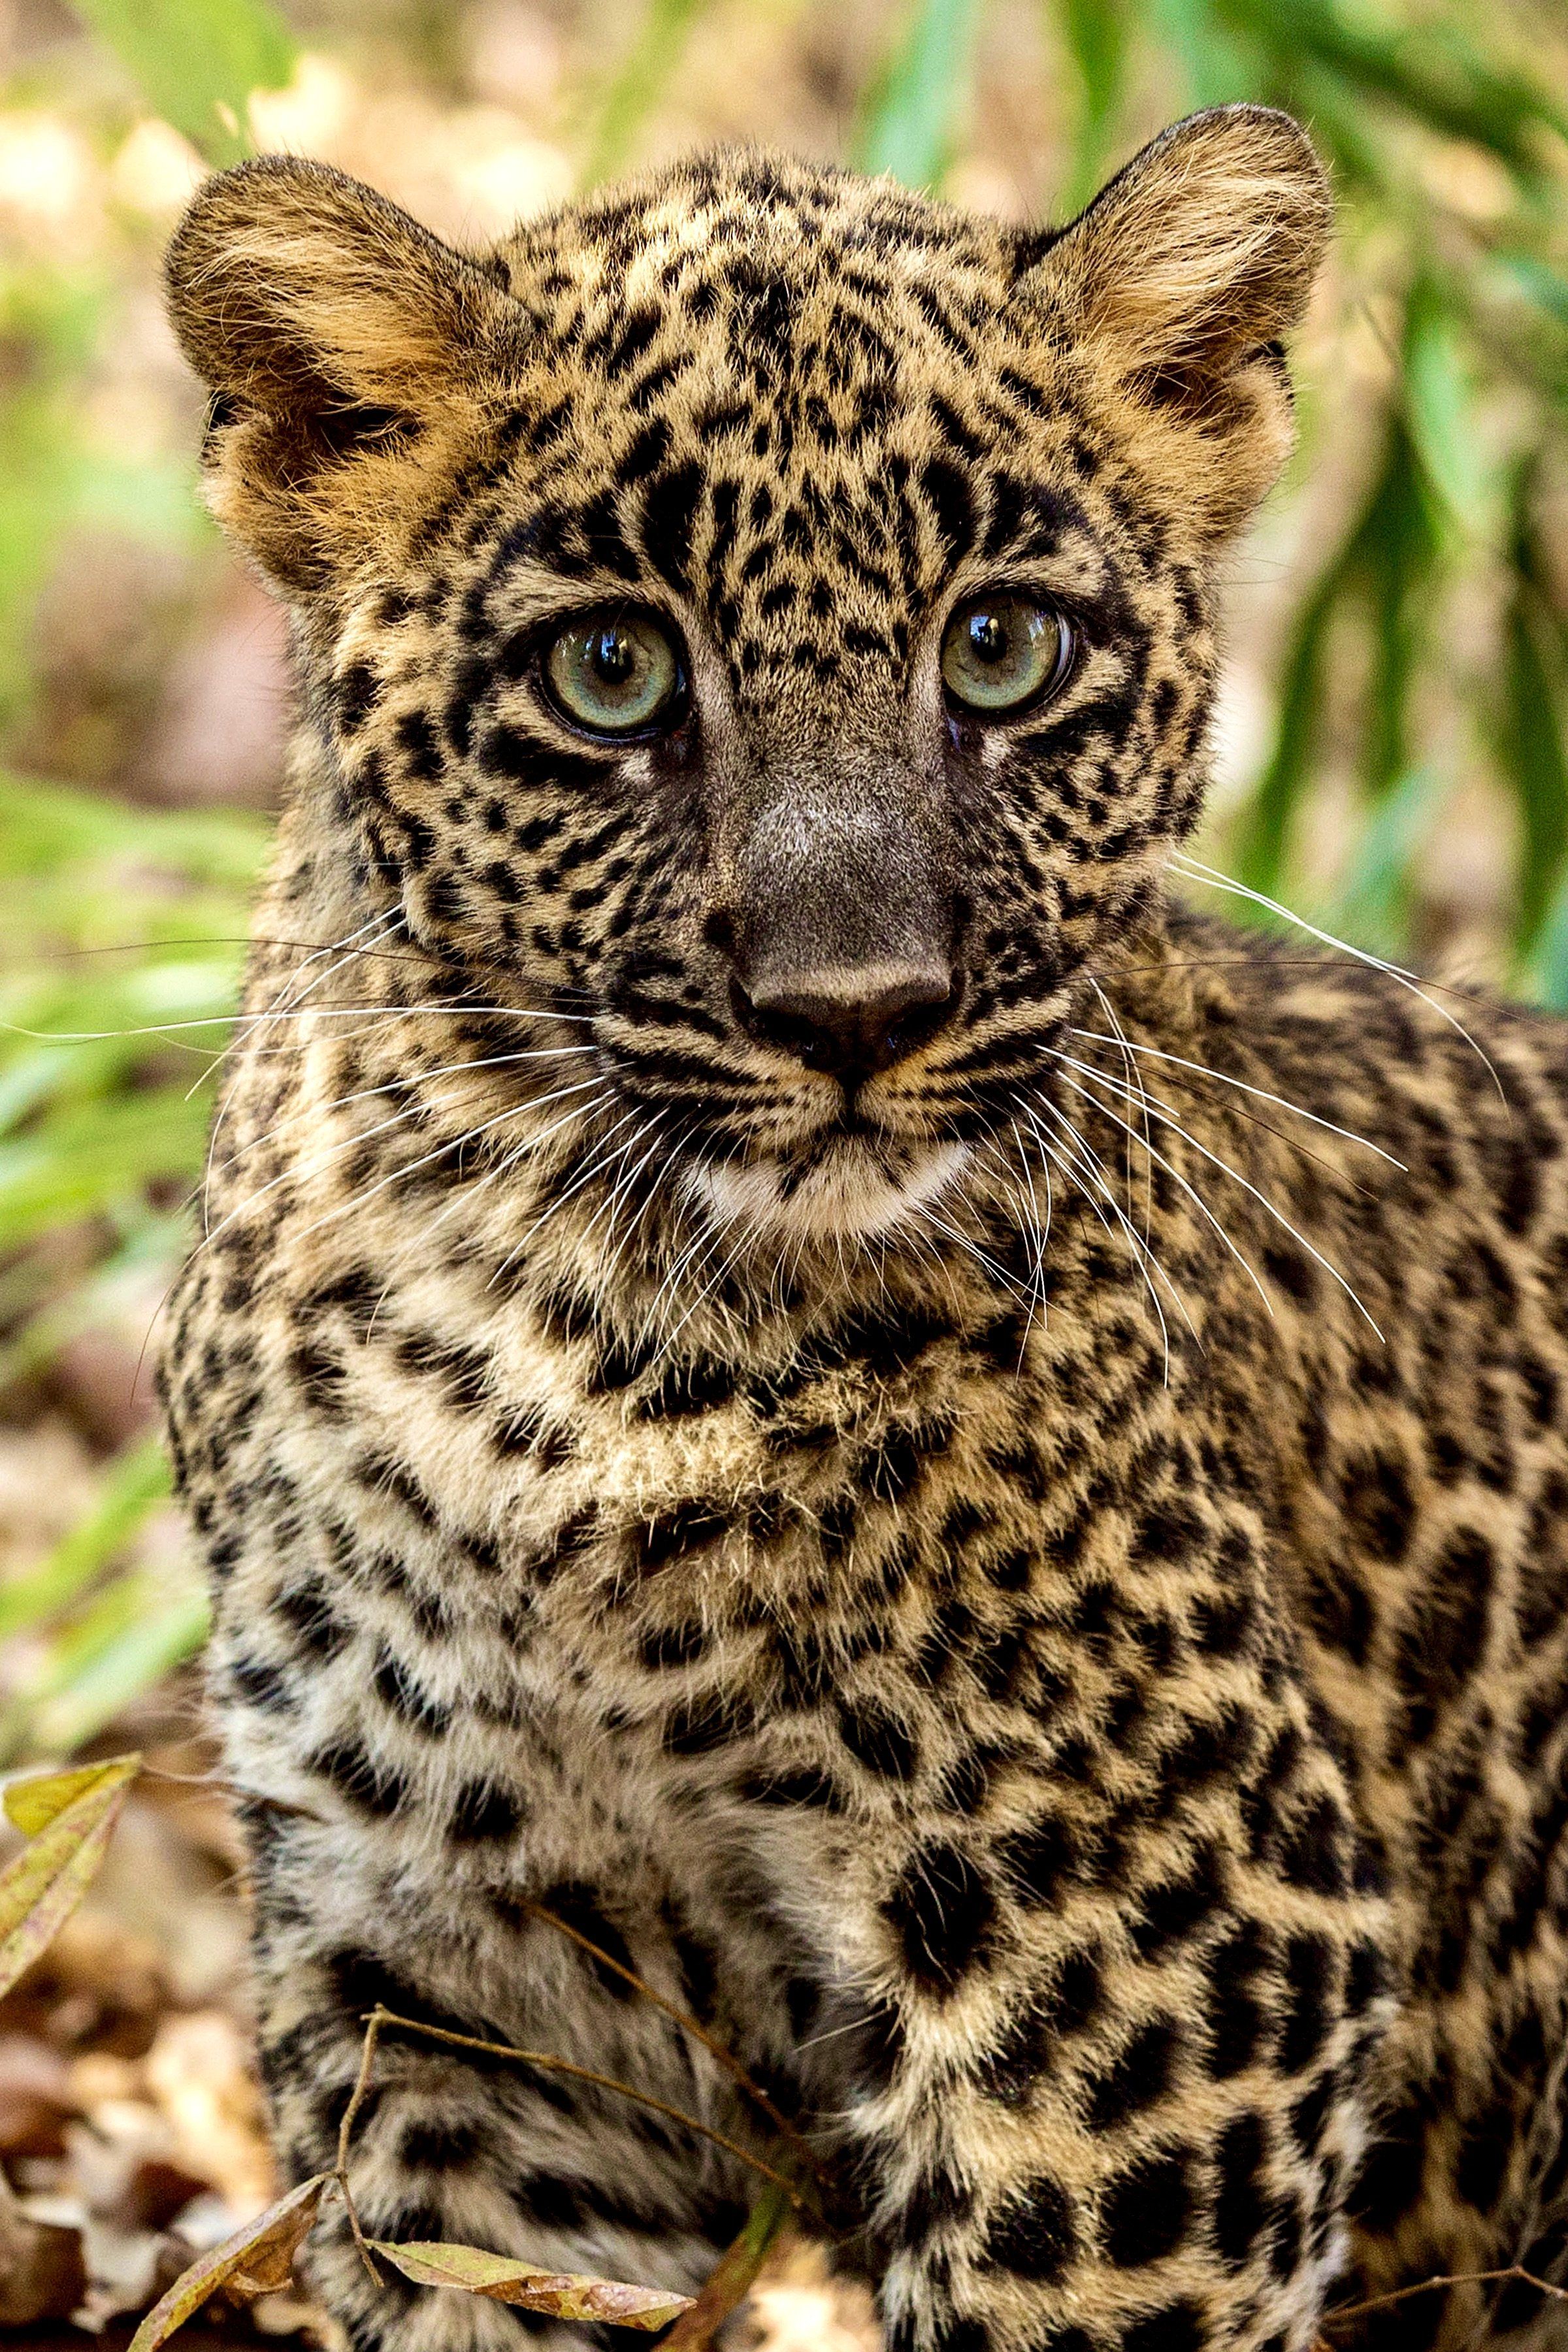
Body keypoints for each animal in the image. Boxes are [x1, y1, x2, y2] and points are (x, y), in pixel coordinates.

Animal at [156, 106, 1568, 2352]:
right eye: (610, 670)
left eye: (1002, 649)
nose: (853, 1013)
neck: (569, 1332)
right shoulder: (456, 1983)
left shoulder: (1166, 1930)